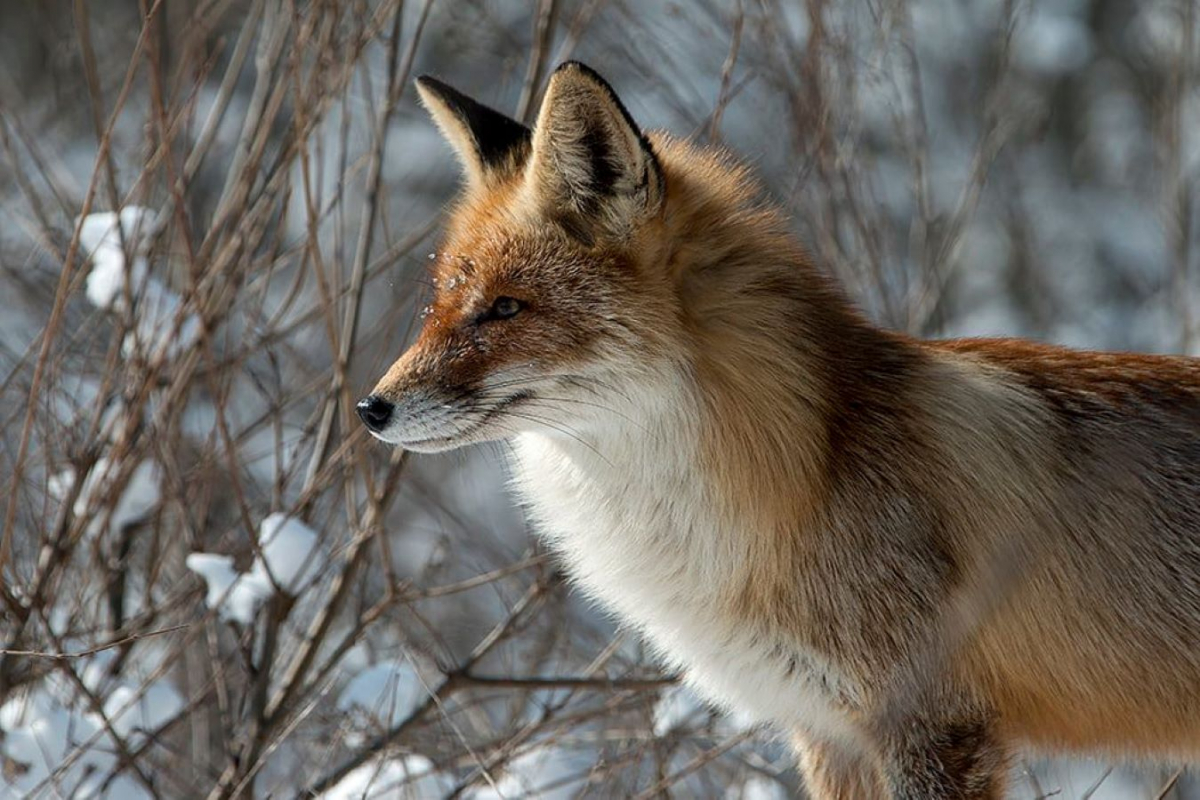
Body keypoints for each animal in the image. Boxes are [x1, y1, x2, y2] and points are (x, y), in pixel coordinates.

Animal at [360, 64, 1200, 800]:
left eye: (506, 308)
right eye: (441, 301)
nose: (373, 408)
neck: (807, 471)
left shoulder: (931, 722)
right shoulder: (827, 732)